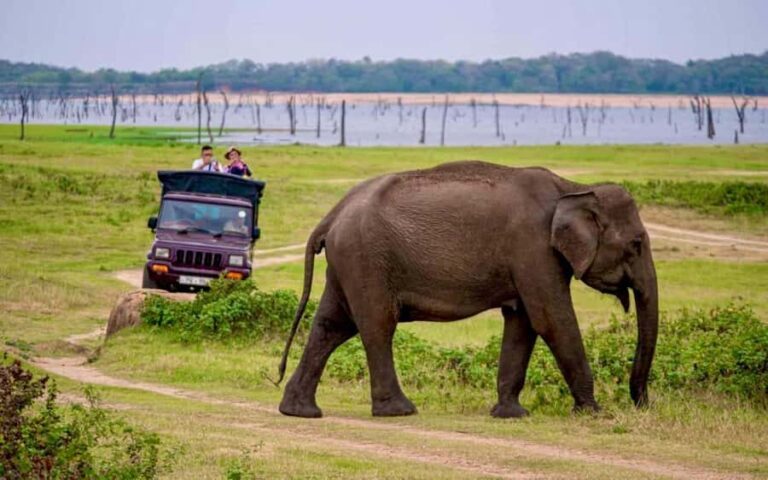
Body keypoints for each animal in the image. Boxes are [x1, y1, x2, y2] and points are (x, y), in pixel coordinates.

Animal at [276, 160, 658, 418]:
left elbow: (522, 322)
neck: (573, 187)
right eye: (637, 244)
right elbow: (551, 320)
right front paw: (593, 412)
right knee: (376, 326)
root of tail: (332, 214)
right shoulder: (533, 249)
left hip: (348, 260)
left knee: (332, 325)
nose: (641, 404)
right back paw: (400, 410)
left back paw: (299, 410)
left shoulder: (529, 260)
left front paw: (510, 414)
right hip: (366, 257)